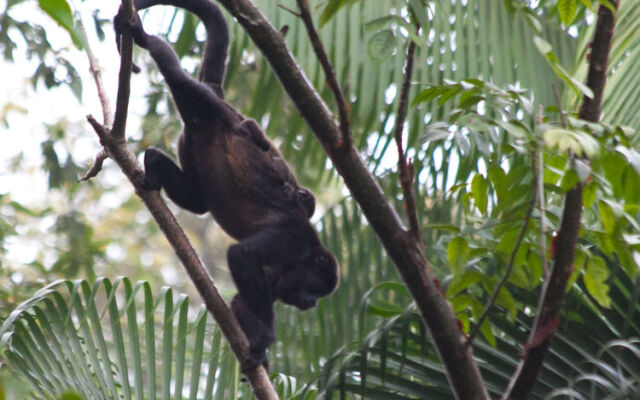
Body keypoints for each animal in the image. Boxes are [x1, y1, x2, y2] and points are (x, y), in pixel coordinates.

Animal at [114, 0, 340, 368]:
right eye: (317, 289)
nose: (312, 304)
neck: (304, 257)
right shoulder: (291, 240)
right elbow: (242, 254)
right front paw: (265, 340)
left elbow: (241, 304)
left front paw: (258, 354)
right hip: (208, 107)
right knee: (177, 76)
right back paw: (146, 40)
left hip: (192, 138)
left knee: (197, 201)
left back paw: (152, 164)